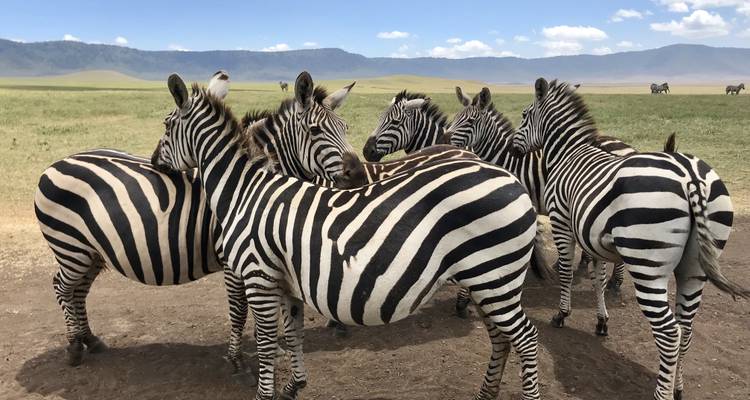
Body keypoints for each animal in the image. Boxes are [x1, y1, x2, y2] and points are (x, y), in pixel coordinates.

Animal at [152, 73, 544, 400]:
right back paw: (485, 393)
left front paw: (263, 387)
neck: (245, 190)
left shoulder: (257, 276)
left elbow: (261, 338)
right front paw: (294, 385)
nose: (155, 163)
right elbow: (292, 334)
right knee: (500, 337)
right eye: (316, 130)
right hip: (486, 279)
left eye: (167, 125)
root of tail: (507, 176)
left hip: (495, 278)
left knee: (526, 339)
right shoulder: (286, 283)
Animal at [512, 78, 747, 400]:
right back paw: (678, 388)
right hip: (695, 268)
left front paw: (562, 314)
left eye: (524, 115)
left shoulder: (562, 222)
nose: (513, 146)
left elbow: (566, 273)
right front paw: (601, 321)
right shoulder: (594, 236)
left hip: (648, 265)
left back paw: (662, 393)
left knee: (669, 333)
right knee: (686, 328)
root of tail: (690, 176)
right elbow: (597, 278)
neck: (568, 153)